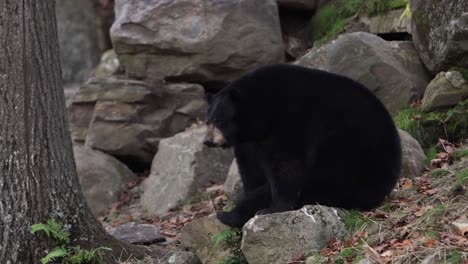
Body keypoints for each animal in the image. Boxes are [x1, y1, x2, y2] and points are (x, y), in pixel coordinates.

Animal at [203, 63, 400, 227]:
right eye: (207, 121)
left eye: (219, 120)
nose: (207, 140)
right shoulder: (249, 141)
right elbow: (250, 168)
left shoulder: (289, 123)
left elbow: (287, 165)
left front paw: (275, 208)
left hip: (347, 157)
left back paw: (233, 214)